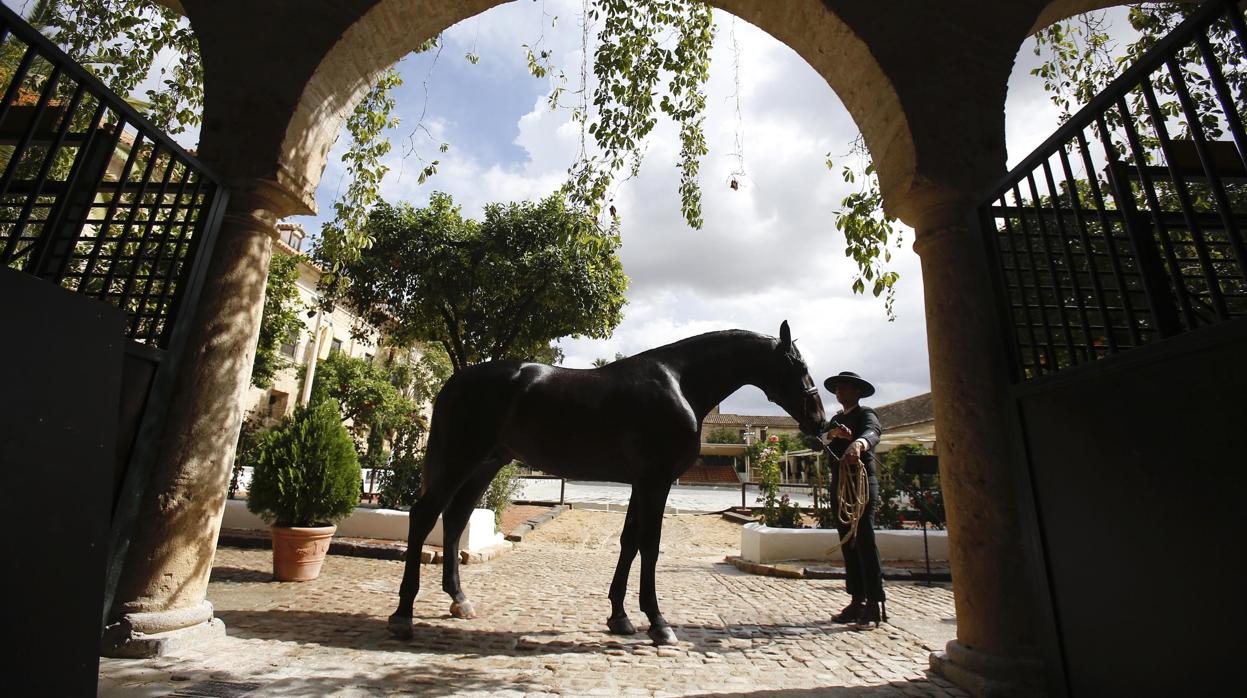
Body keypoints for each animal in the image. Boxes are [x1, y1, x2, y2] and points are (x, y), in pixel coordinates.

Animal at [384, 321, 823, 643]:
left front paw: (620, 617)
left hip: (486, 464)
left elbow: (629, 542)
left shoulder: (641, 483)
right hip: (461, 459)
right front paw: (658, 623)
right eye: (799, 367)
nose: (819, 421)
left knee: (456, 518)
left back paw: (460, 600)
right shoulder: (656, 481)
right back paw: (403, 615)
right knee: (424, 516)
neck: (678, 383)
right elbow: (650, 545)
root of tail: (456, 380)